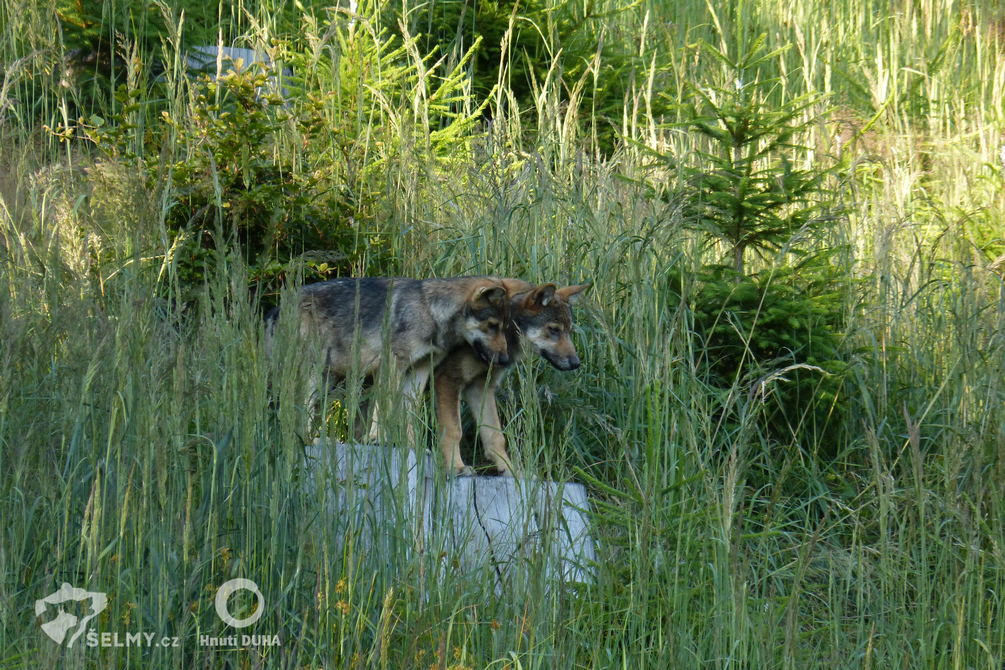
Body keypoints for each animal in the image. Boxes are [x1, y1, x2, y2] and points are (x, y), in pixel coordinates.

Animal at [267, 275, 510, 437]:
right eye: (492, 326)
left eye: (503, 327)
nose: (505, 360)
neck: (430, 312)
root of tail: (275, 308)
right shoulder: (392, 365)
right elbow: (383, 409)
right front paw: (378, 439)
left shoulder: (419, 371)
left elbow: (409, 412)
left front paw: (411, 448)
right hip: (312, 374)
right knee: (297, 410)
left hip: (326, 380)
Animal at [432, 279, 586, 476]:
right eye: (553, 330)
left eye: (569, 331)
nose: (576, 363)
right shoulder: (448, 381)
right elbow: (453, 431)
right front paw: (456, 467)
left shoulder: (480, 388)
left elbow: (495, 435)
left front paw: (510, 469)